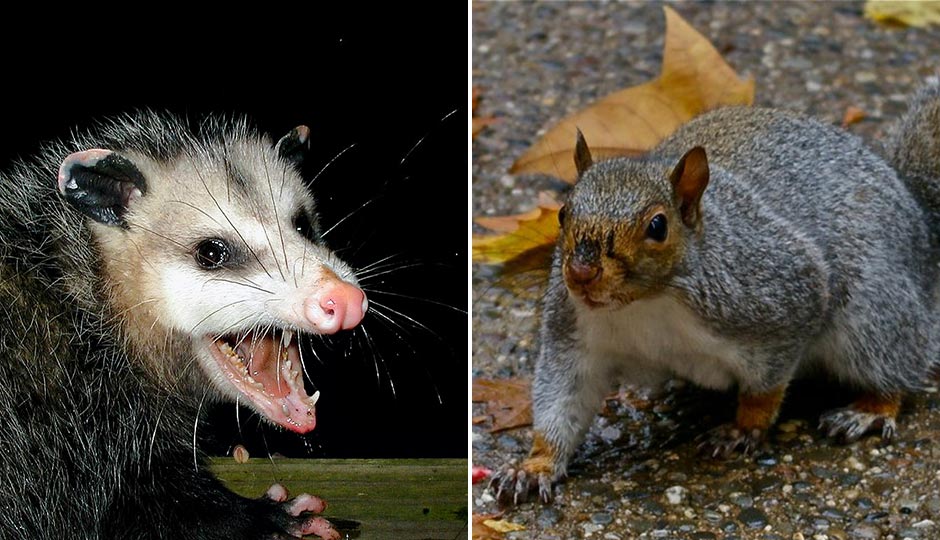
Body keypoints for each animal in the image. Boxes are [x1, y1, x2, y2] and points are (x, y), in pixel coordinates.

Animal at [491, 78, 940, 505]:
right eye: (563, 213)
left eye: (658, 226)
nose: (581, 272)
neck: (645, 305)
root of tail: (920, 224)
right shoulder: (575, 335)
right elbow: (561, 399)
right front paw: (534, 465)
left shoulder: (784, 295)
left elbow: (767, 384)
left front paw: (743, 428)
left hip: (872, 312)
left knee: (896, 364)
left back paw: (870, 409)